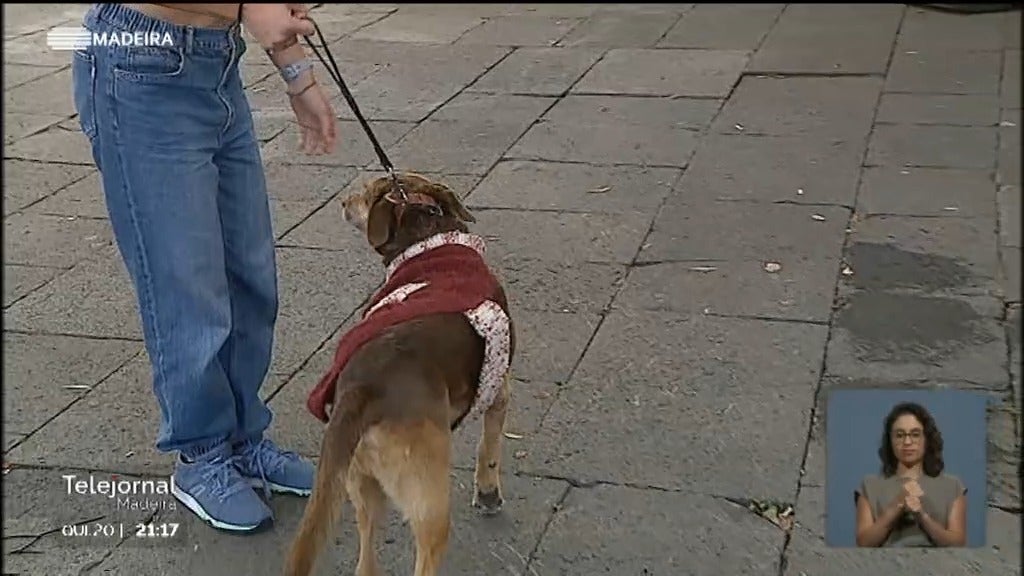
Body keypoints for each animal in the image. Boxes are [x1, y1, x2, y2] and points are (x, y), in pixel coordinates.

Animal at [284, 171, 516, 573]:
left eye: (364, 193)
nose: (342, 201)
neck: (427, 240)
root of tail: (362, 391)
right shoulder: (499, 390)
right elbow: (489, 448)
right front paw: (488, 493)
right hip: (428, 501)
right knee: (424, 557)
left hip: (362, 486)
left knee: (366, 558)